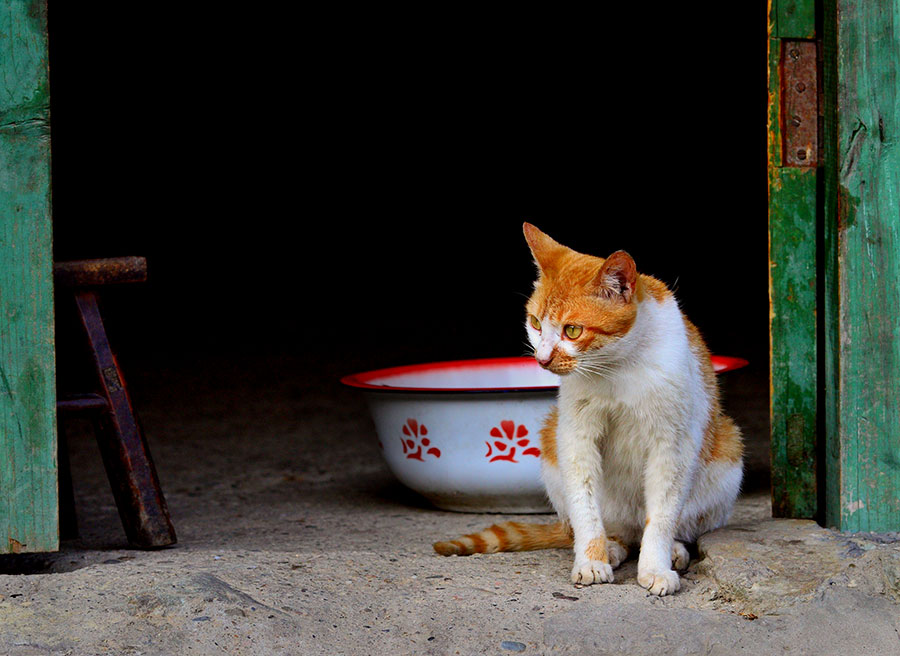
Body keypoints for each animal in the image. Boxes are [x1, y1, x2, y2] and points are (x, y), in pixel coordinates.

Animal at [432, 223, 740, 596]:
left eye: (573, 330)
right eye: (535, 323)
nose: (542, 359)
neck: (618, 367)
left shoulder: (673, 445)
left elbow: (662, 517)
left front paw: (655, 567)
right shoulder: (575, 437)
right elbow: (585, 509)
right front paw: (592, 560)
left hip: (728, 450)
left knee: (666, 527)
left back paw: (673, 551)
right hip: (551, 442)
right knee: (606, 530)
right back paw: (612, 546)